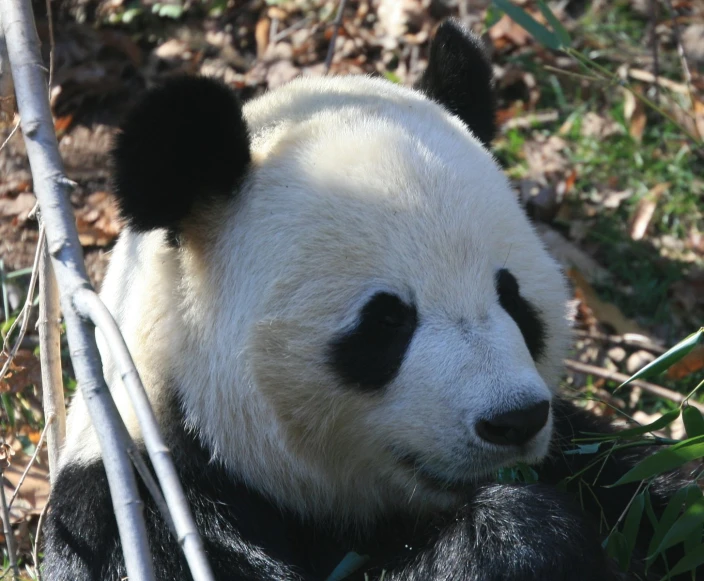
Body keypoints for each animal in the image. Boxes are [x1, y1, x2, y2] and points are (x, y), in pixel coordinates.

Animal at [42, 19, 688, 580]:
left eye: (513, 299)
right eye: (386, 322)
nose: (514, 420)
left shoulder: (577, 448)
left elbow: (653, 489)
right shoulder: (140, 509)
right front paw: (522, 540)